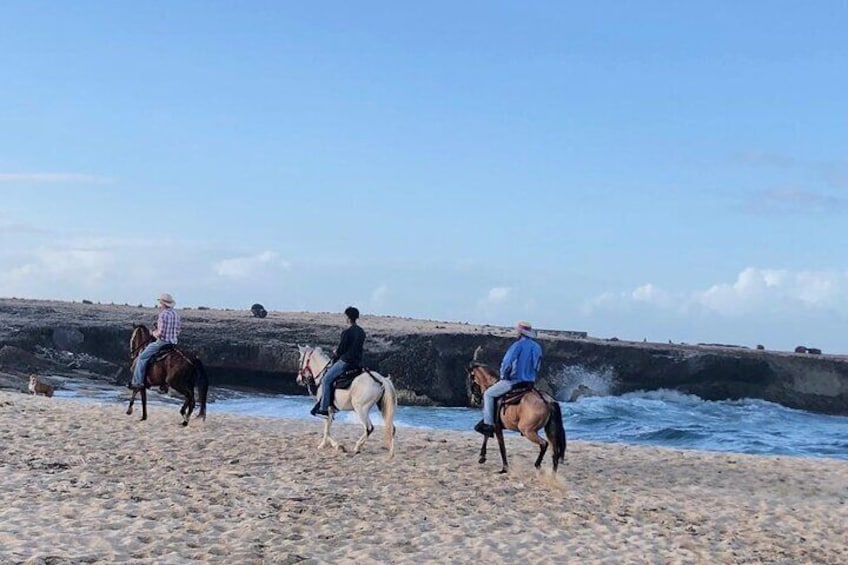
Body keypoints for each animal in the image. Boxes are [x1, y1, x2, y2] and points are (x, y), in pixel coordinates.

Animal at [468, 346, 568, 474]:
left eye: (470, 379)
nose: (474, 400)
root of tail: (546, 399)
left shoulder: (496, 426)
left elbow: (501, 447)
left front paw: (504, 468)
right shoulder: (492, 424)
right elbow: (483, 432)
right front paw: (482, 456)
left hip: (527, 430)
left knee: (544, 444)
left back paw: (537, 465)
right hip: (550, 431)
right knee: (554, 453)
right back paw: (552, 474)